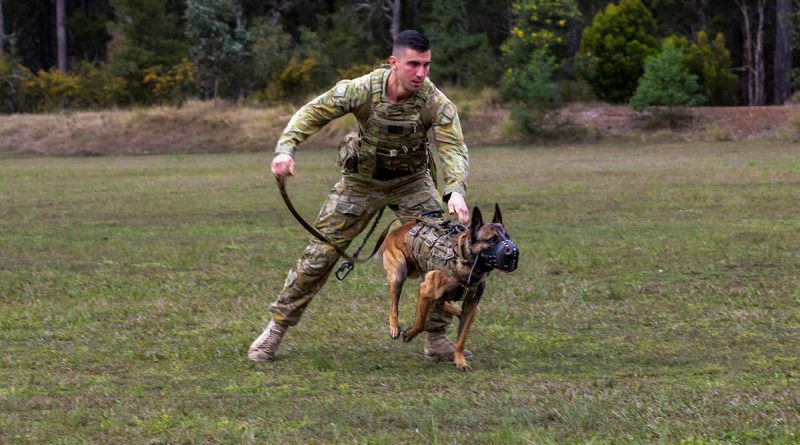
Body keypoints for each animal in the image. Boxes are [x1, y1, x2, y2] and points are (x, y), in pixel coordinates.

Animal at [380, 203, 520, 370]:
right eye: (492, 239)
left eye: (507, 236)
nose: (513, 253)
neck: (466, 262)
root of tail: (397, 229)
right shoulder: (425, 291)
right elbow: (420, 322)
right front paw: (409, 334)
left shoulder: (470, 305)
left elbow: (461, 339)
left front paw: (460, 361)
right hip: (398, 276)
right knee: (393, 307)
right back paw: (394, 328)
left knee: (443, 304)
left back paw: (458, 312)